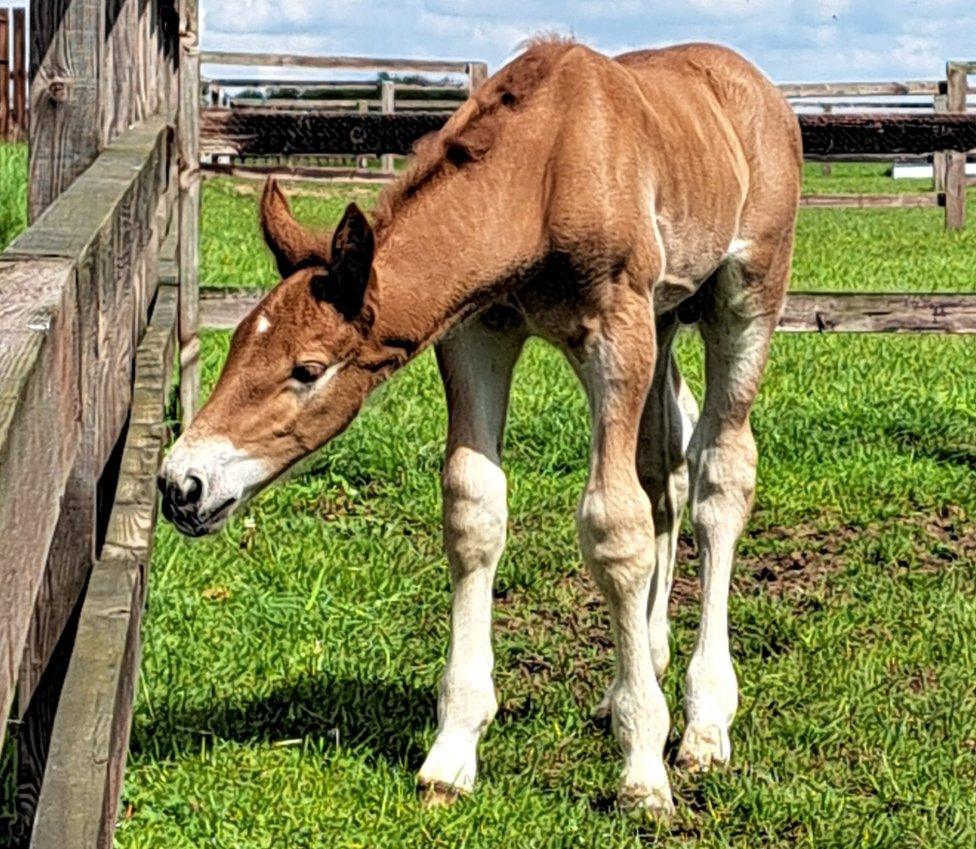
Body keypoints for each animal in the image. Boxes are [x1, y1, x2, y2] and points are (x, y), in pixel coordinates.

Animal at [160, 39, 800, 816]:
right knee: (664, 475)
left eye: (307, 369)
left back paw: (704, 722)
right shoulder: (479, 334)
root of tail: (755, 85)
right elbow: (475, 509)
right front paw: (453, 751)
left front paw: (644, 767)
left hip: (744, 298)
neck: (544, 171)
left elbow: (612, 525)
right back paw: (639, 668)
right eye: (235, 350)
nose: (182, 484)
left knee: (719, 478)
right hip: (667, 317)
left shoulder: (617, 330)